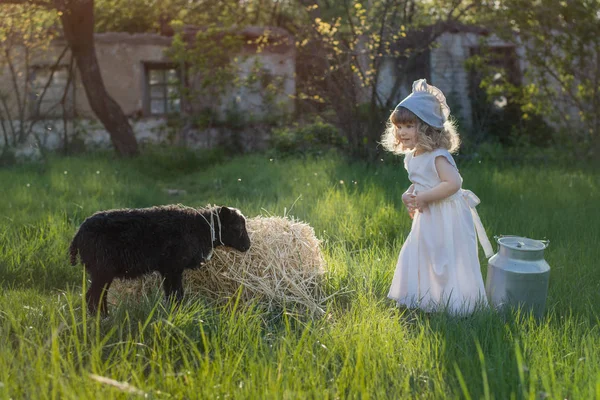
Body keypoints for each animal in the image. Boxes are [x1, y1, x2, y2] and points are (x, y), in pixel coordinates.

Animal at [69, 205, 250, 314]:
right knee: (92, 297)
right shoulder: (173, 268)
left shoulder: (167, 270)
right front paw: (177, 312)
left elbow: (170, 294)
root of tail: (78, 235)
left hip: (102, 272)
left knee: (99, 296)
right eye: (237, 227)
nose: (248, 246)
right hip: (101, 269)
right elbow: (177, 294)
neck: (200, 228)